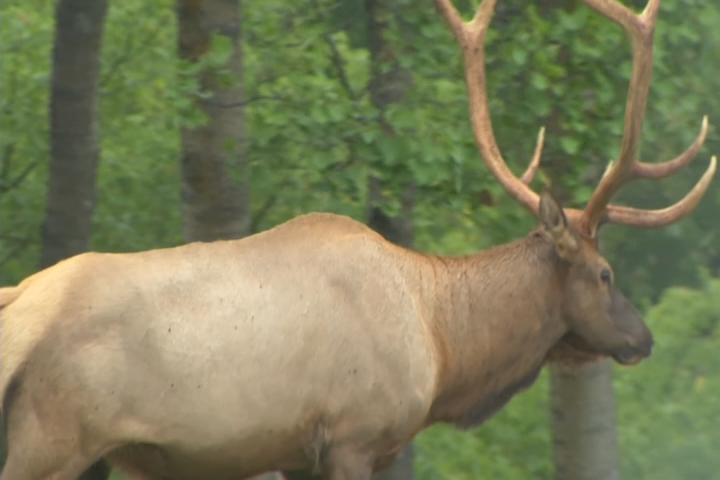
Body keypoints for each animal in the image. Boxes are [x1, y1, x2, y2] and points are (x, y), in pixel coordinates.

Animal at [0, 0, 716, 478]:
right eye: (605, 273)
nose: (643, 337)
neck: (441, 342)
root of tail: (19, 308)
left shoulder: (294, 452)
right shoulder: (354, 433)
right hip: (52, 438)